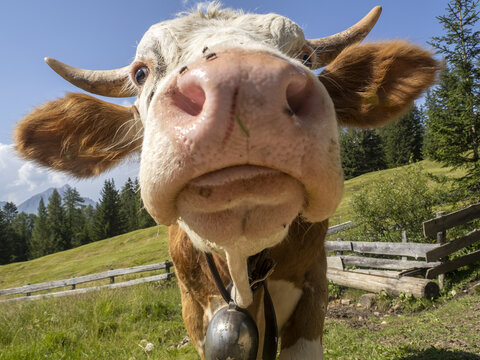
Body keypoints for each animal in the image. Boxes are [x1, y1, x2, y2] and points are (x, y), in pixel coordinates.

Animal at [15, 3, 438, 360]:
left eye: (305, 56)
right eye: (141, 72)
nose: (245, 84)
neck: (240, 264)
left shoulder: (313, 289)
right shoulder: (195, 312)